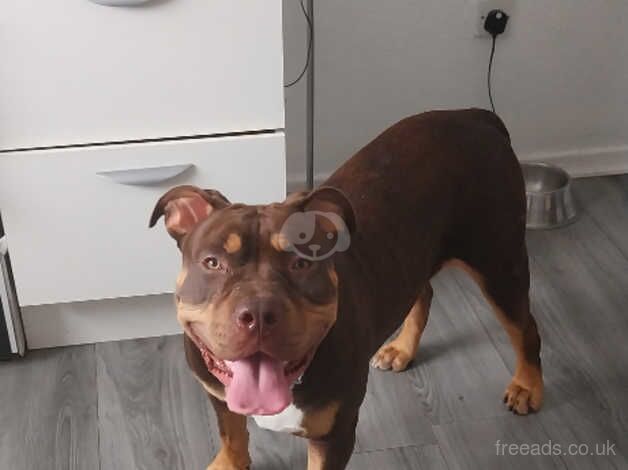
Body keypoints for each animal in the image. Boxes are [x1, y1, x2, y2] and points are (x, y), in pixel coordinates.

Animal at [149, 109, 543, 470]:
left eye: (301, 264)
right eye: (213, 263)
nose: (259, 313)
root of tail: (475, 116)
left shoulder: (333, 435)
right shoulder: (217, 394)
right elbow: (231, 434)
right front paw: (229, 462)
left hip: (498, 263)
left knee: (525, 327)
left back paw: (527, 386)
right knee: (423, 293)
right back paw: (401, 349)